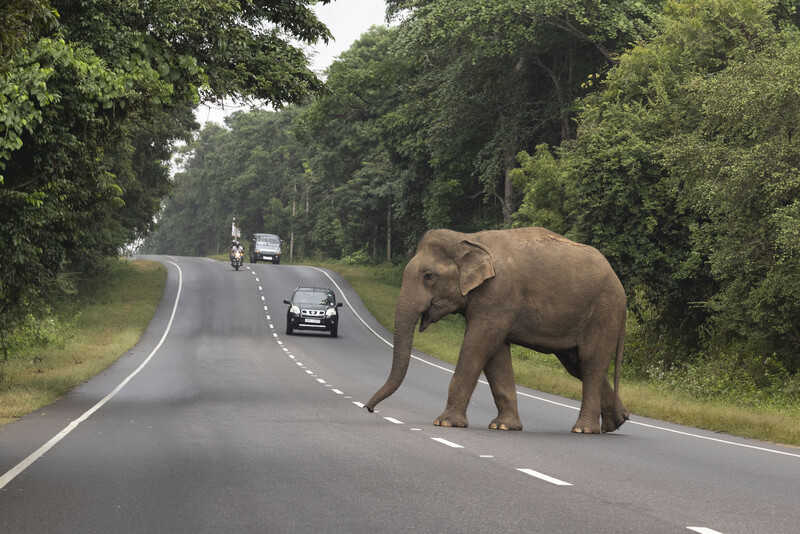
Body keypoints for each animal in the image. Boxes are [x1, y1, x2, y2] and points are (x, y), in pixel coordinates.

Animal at [365, 227, 629, 434]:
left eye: (428, 276)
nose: (368, 408)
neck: (469, 238)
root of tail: (621, 288)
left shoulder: (498, 295)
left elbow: (478, 345)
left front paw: (445, 423)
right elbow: (496, 354)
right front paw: (503, 426)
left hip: (603, 312)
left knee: (590, 362)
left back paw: (584, 429)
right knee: (576, 364)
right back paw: (617, 421)